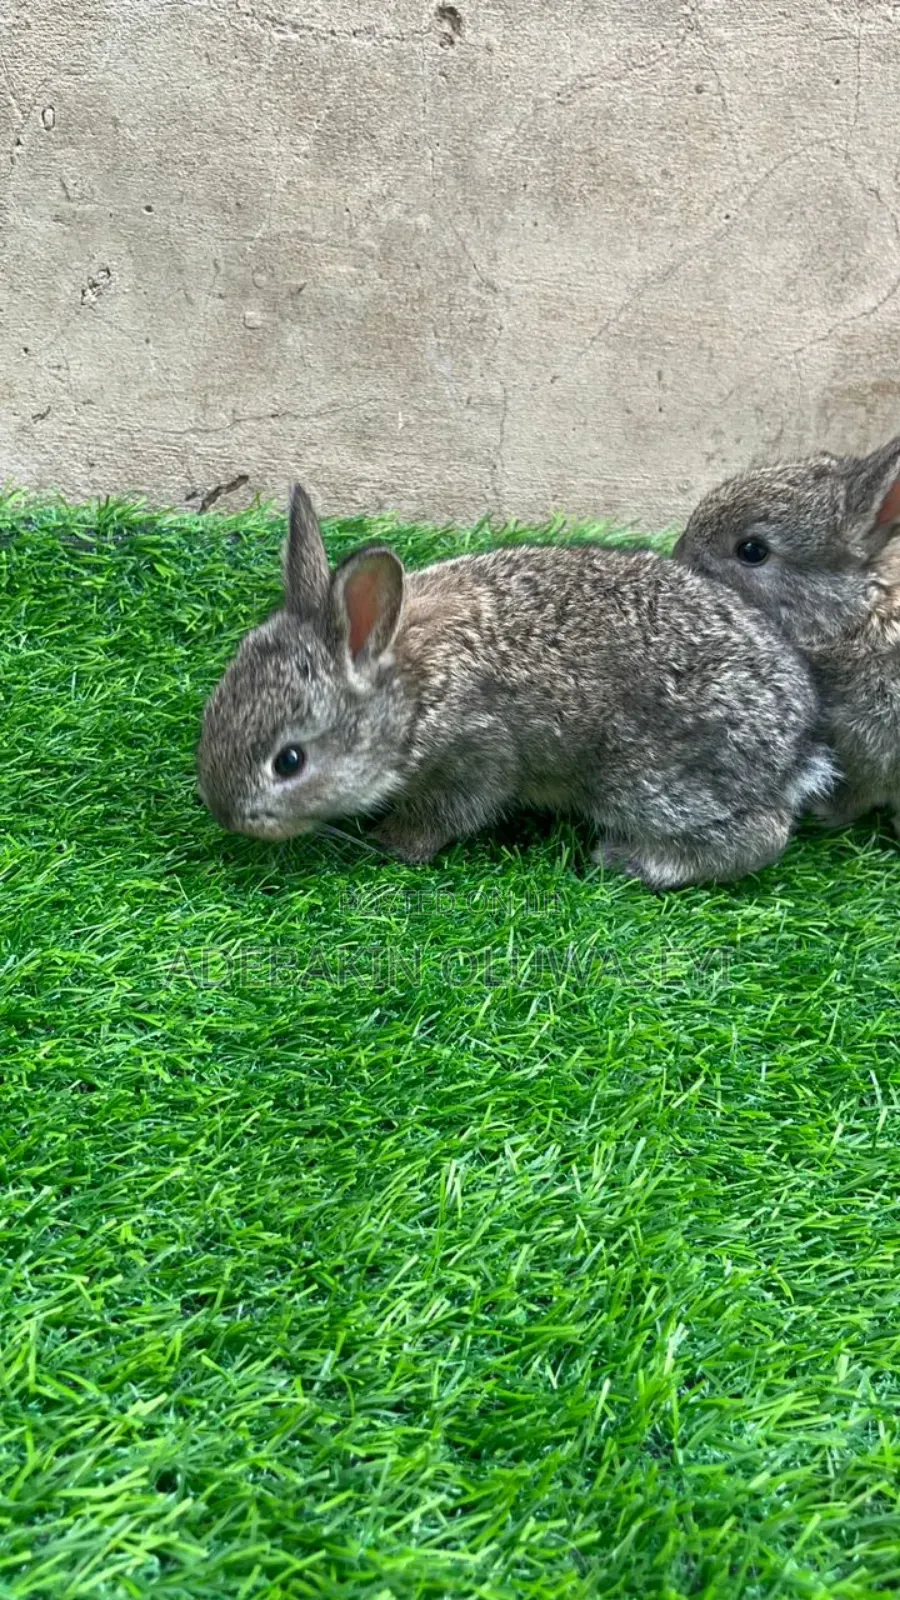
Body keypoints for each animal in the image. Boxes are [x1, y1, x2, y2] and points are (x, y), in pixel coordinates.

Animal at [196, 483, 833, 891]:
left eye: (290, 761)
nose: (227, 816)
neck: (410, 689)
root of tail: (797, 745)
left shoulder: (476, 754)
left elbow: (449, 814)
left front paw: (392, 842)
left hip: (644, 781)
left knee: (759, 835)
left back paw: (628, 860)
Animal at [672, 434, 900, 834]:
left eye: (752, 550)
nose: (677, 553)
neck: (854, 616)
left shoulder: (872, 741)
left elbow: (859, 794)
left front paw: (823, 812)